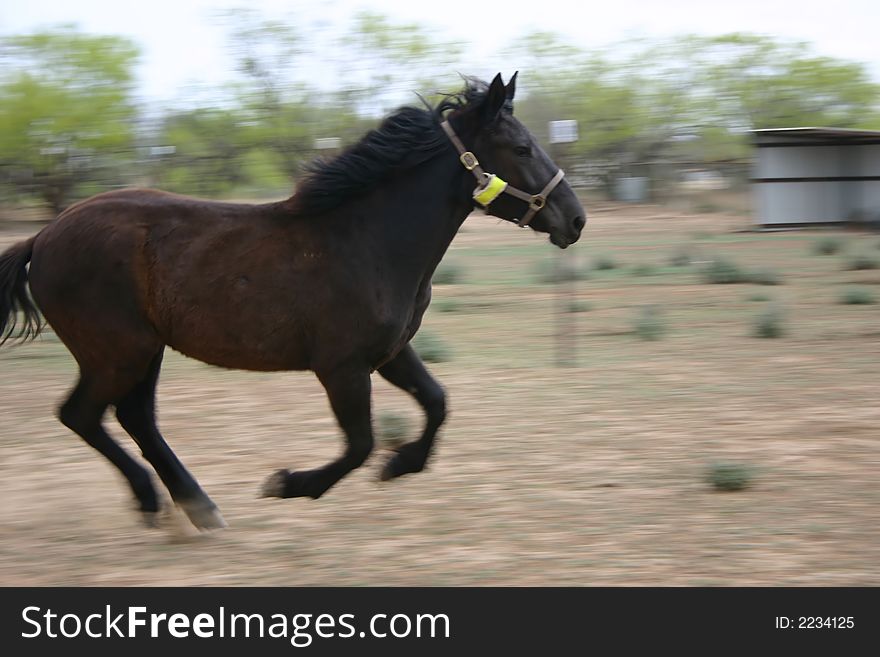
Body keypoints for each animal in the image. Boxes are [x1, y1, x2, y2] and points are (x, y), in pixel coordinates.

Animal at [1, 74, 592, 532]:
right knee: (83, 414)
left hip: (145, 351)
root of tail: (43, 238)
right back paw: (165, 503)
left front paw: (402, 464)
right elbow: (359, 444)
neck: (368, 240)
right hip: (117, 353)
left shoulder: (391, 353)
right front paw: (289, 483)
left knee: (133, 417)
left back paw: (194, 507)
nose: (576, 219)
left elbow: (437, 402)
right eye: (521, 149)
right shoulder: (341, 367)